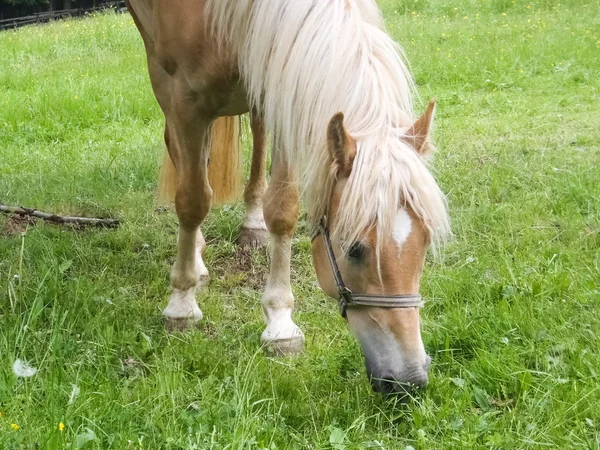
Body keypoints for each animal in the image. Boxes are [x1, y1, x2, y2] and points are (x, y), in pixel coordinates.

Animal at [124, 0, 448, 394]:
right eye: (355, 250)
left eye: (425, 241)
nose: (410, 379)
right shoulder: (184, 98)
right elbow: (193, 200)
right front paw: (182, 303)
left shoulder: (283, 88)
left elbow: (282, 210)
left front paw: (279, 323)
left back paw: (252, 223)